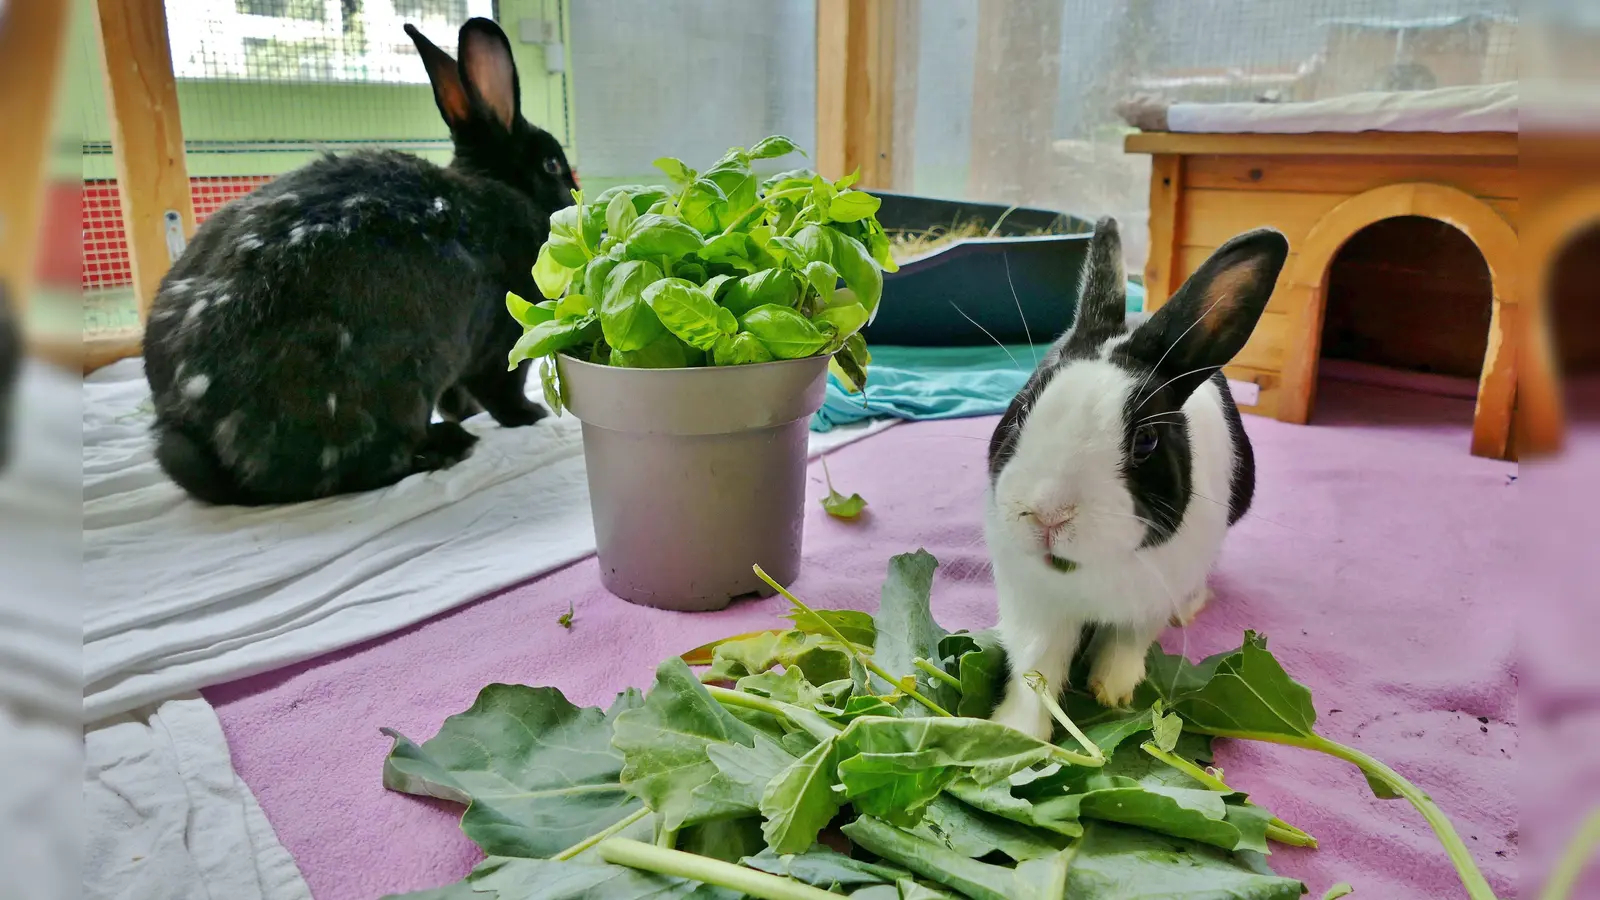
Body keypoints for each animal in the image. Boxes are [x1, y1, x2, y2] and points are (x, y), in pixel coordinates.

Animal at [143, 17, 575, 506]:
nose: (575, 193)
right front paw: (532, 416)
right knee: (366, 467)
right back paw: (447, 446)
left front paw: (468, 412)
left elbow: (461, 396)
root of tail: (194, 426)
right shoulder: (502, 343)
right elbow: (502, 391)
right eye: (553, 164)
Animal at [985, 217, 1289, 741]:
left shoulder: (1147, 603)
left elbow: (1128, 640)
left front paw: (1113, 689)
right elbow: (1036, 668)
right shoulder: (1035, 603)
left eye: (1145, 441)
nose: (1047, 515)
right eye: (1022, 410)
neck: (1089, 568)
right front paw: (1018, 732)